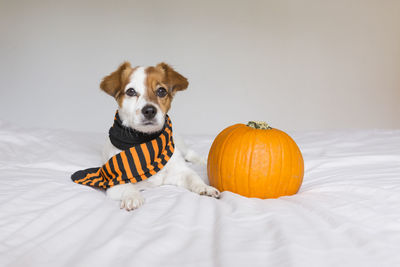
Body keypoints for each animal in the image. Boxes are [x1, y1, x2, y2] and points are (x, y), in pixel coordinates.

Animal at [99, 61, 220, 210]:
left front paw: (205, 187)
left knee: (190, 153)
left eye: (161, 91)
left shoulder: (181, 172)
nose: (149, 110)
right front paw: (133, 197)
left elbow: (193, 177)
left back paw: (203, 160)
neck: (145, 141)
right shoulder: (114, 184)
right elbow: (128, 187)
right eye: (130, 91)